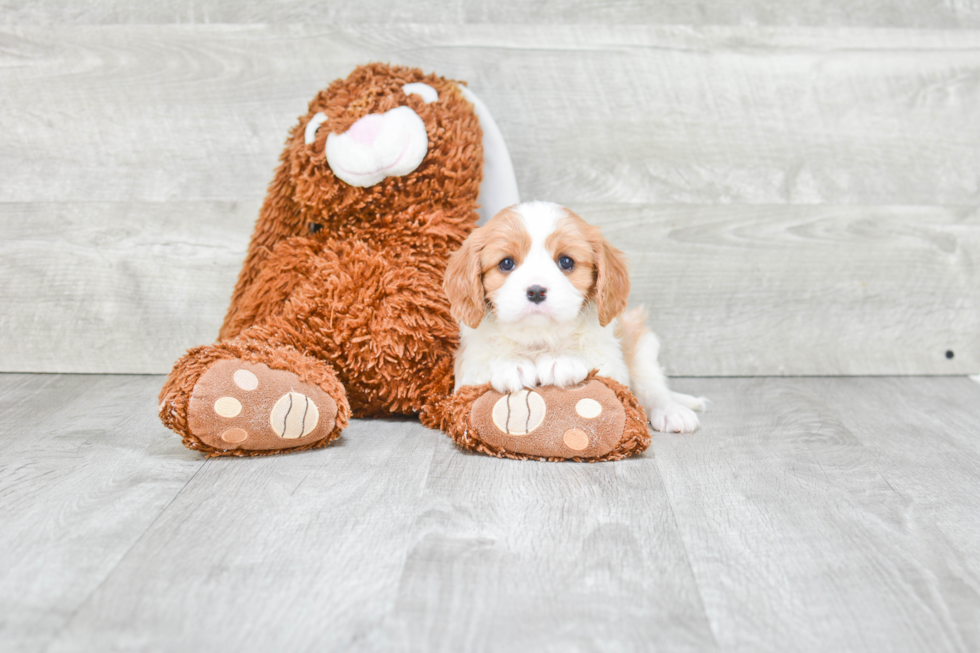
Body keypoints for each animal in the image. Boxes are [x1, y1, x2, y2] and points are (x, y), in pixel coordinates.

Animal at [444, 199, 704, 432]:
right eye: (506, 263)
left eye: (566, 262)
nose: (536, 291)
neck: (539, 337)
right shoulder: (466, 371)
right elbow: (485, 362)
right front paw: (512, 363)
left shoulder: (612, 363)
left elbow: (593, 358)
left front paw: (562, 359)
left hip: (641, 345)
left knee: (652, 385)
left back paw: (671, 411)